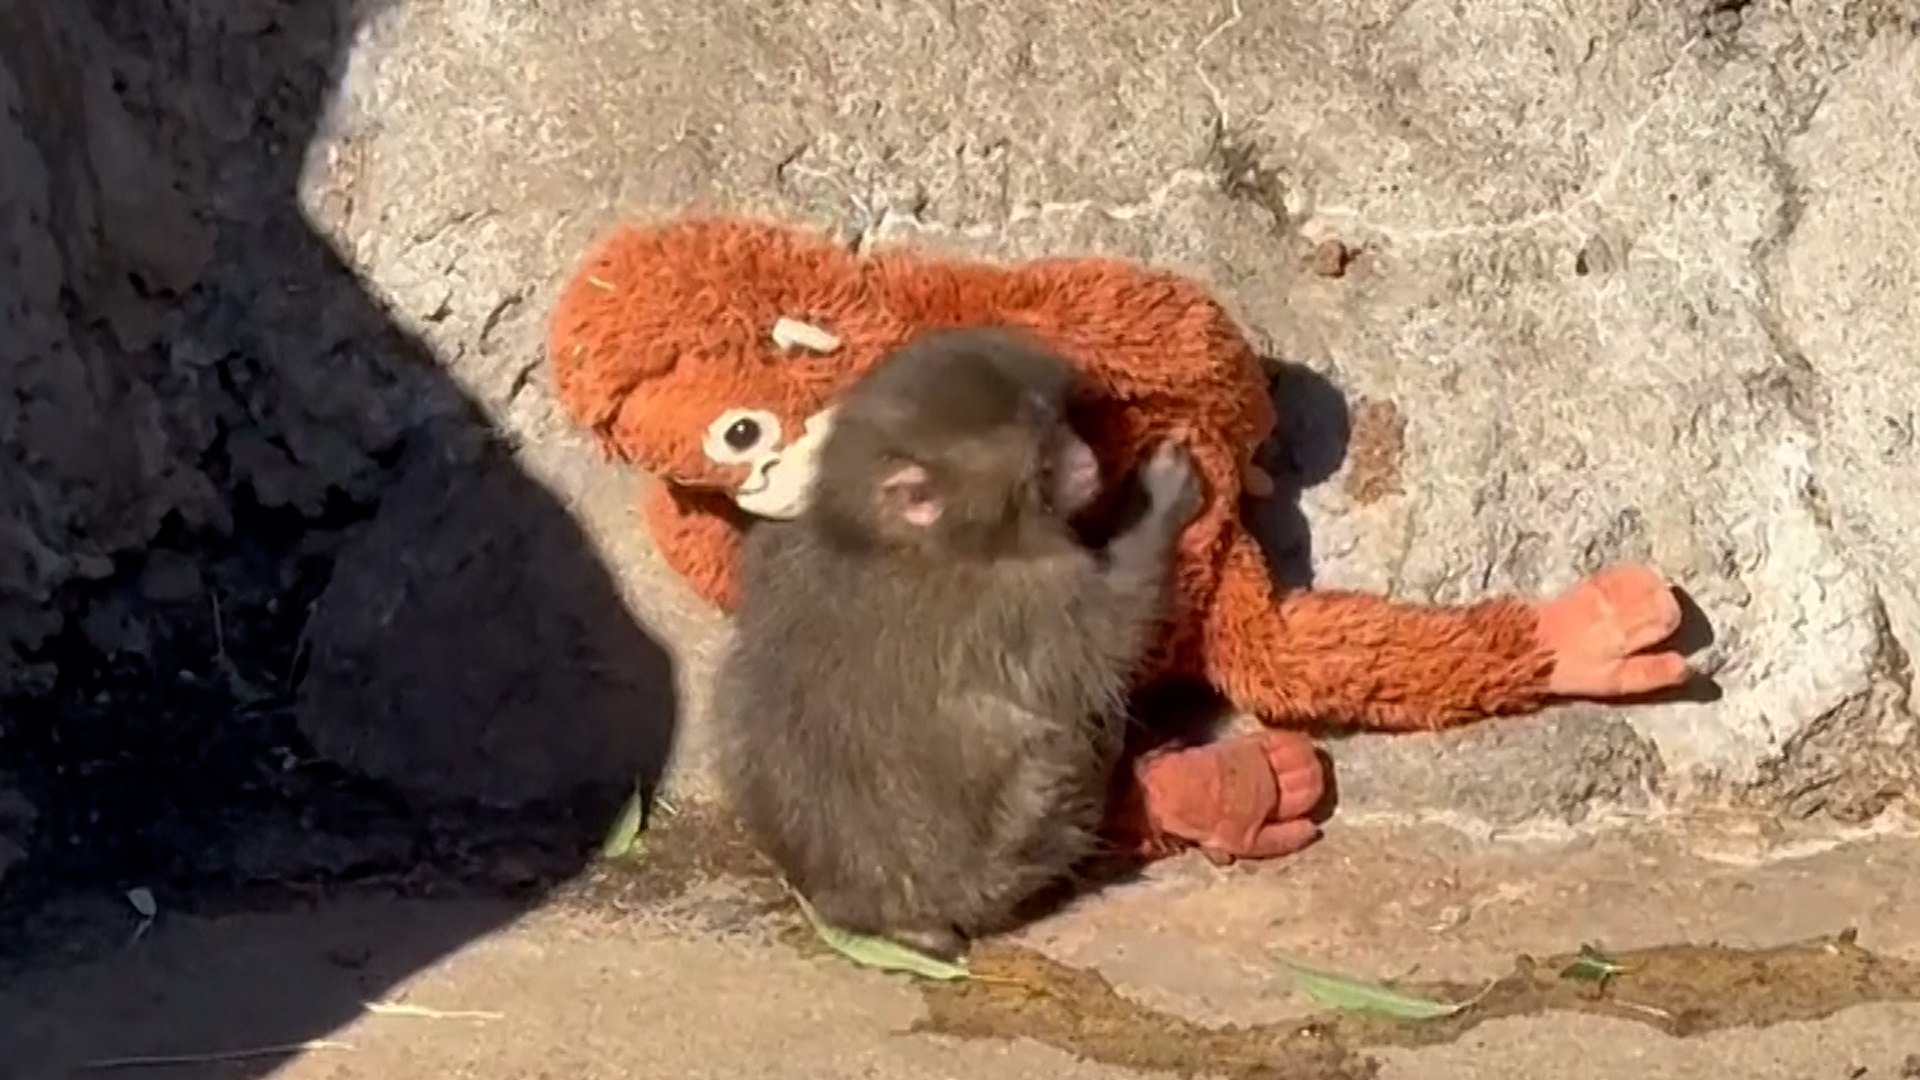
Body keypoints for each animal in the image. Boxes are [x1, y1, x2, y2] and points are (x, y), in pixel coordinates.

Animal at [710, 326, 1205, 959]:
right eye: (1044, 462)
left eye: (1061, 422)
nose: (1088, 462)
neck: (888, 537)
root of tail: (873, 913)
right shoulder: (1026, 597)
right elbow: (1109, 642)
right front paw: (1159, 502)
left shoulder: (779, 541)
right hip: (1011, 850)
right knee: (1059, 742)